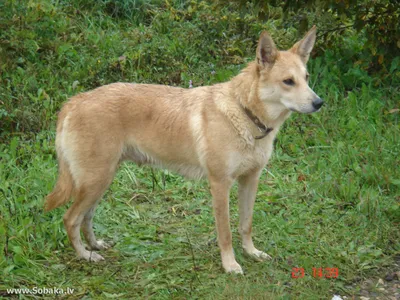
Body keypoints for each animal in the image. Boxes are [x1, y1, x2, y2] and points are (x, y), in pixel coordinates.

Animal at [45, 26, 324, 274]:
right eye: (288, 81)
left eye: (307, 78)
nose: (319, 103)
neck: (244, 113)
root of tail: (74, 101)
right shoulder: (220, 185)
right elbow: (225, 233)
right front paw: (230, 265)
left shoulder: (250, 180)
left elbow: (246, 224)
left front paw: (252, 253)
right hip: (95, 182)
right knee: (70, 219)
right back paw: (85, 256)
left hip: (100, 182)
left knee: (86, 218)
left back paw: (95, 246)